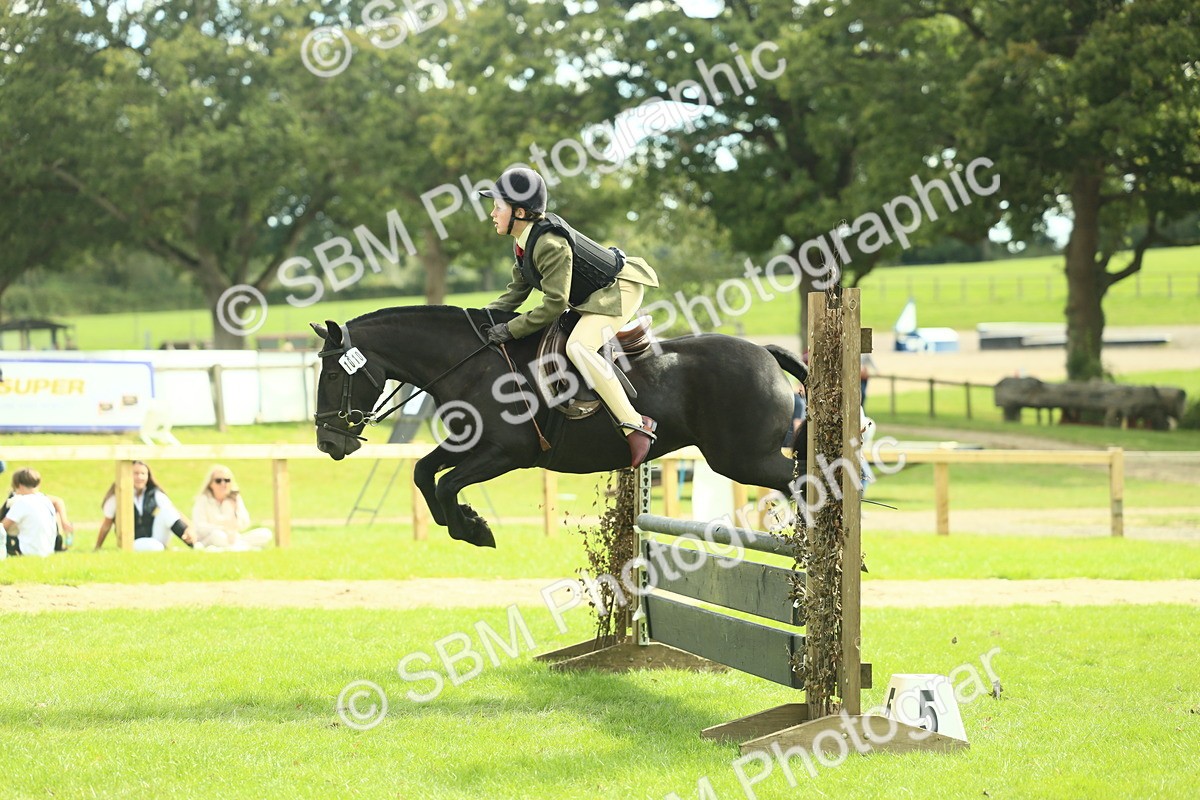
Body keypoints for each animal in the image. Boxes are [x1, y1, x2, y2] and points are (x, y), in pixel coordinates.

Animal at [310, 306, 807, 548]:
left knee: (802, 479)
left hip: (744, 459)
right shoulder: (469, 443)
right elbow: (423, 473)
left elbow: (448, 483)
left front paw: (473, 529)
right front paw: (463, 523)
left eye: (332, 375)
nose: (327, 441)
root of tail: (765, 352)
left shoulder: (507, 454)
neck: (472, 365)